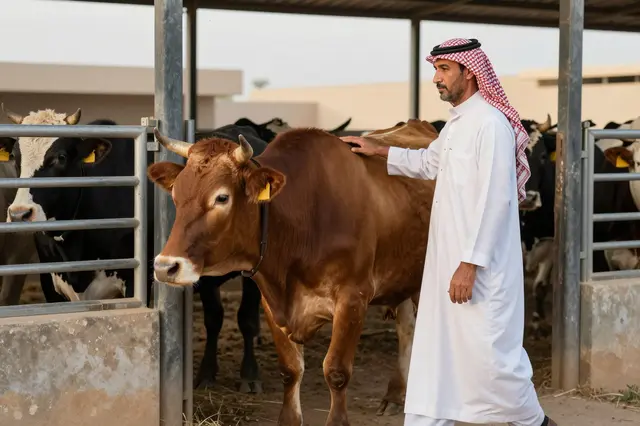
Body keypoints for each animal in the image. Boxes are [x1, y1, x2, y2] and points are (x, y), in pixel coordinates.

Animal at [147, 118, 439, 424]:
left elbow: (336, 371)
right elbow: (290, 369)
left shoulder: (353, 299)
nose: (166, 266)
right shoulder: (272, 300)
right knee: (406, 329)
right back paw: (394, 395)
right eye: (176, 195)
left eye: (222, 198)